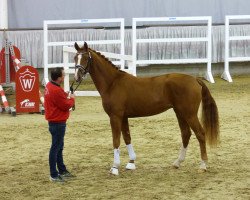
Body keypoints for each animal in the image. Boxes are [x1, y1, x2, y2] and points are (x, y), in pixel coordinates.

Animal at [73, 42, 219, 175]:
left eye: (85, 57)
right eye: (75, 57)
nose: (76, 77)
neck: (113, 83)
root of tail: (195, 79)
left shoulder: (115, 116)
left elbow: (116, 140)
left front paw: (114, 167)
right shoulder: (123, 117)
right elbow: (127, 137)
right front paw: (131, 163)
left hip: (189, 114)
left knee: (200, 134)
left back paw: (203, 165)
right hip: (180, 112)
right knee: (186, 134)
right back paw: (177, 162)